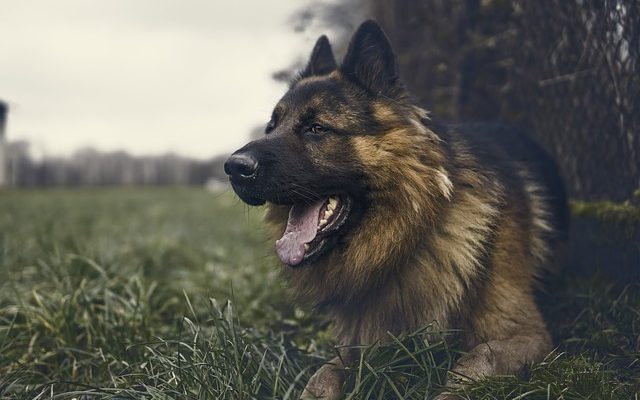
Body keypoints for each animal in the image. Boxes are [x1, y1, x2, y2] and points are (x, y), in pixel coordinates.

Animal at [224, 19, 564, 400]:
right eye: (272, 126)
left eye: (316, 128)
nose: (233, 167)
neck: (411, 236)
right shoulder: (357, 344)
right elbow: (321, 374)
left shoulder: (526, 334)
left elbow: (476, 361)